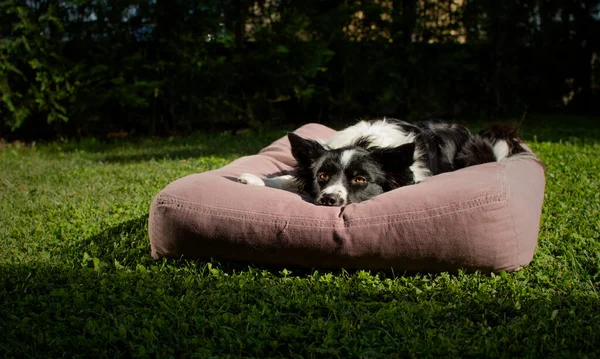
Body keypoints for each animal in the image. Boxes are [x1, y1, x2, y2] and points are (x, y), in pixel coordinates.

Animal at [237, 119, 536, 207]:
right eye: (322, 176)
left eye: (360, 179)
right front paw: (255, 179)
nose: (329, 200)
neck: (366, 143)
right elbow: (290, 179)